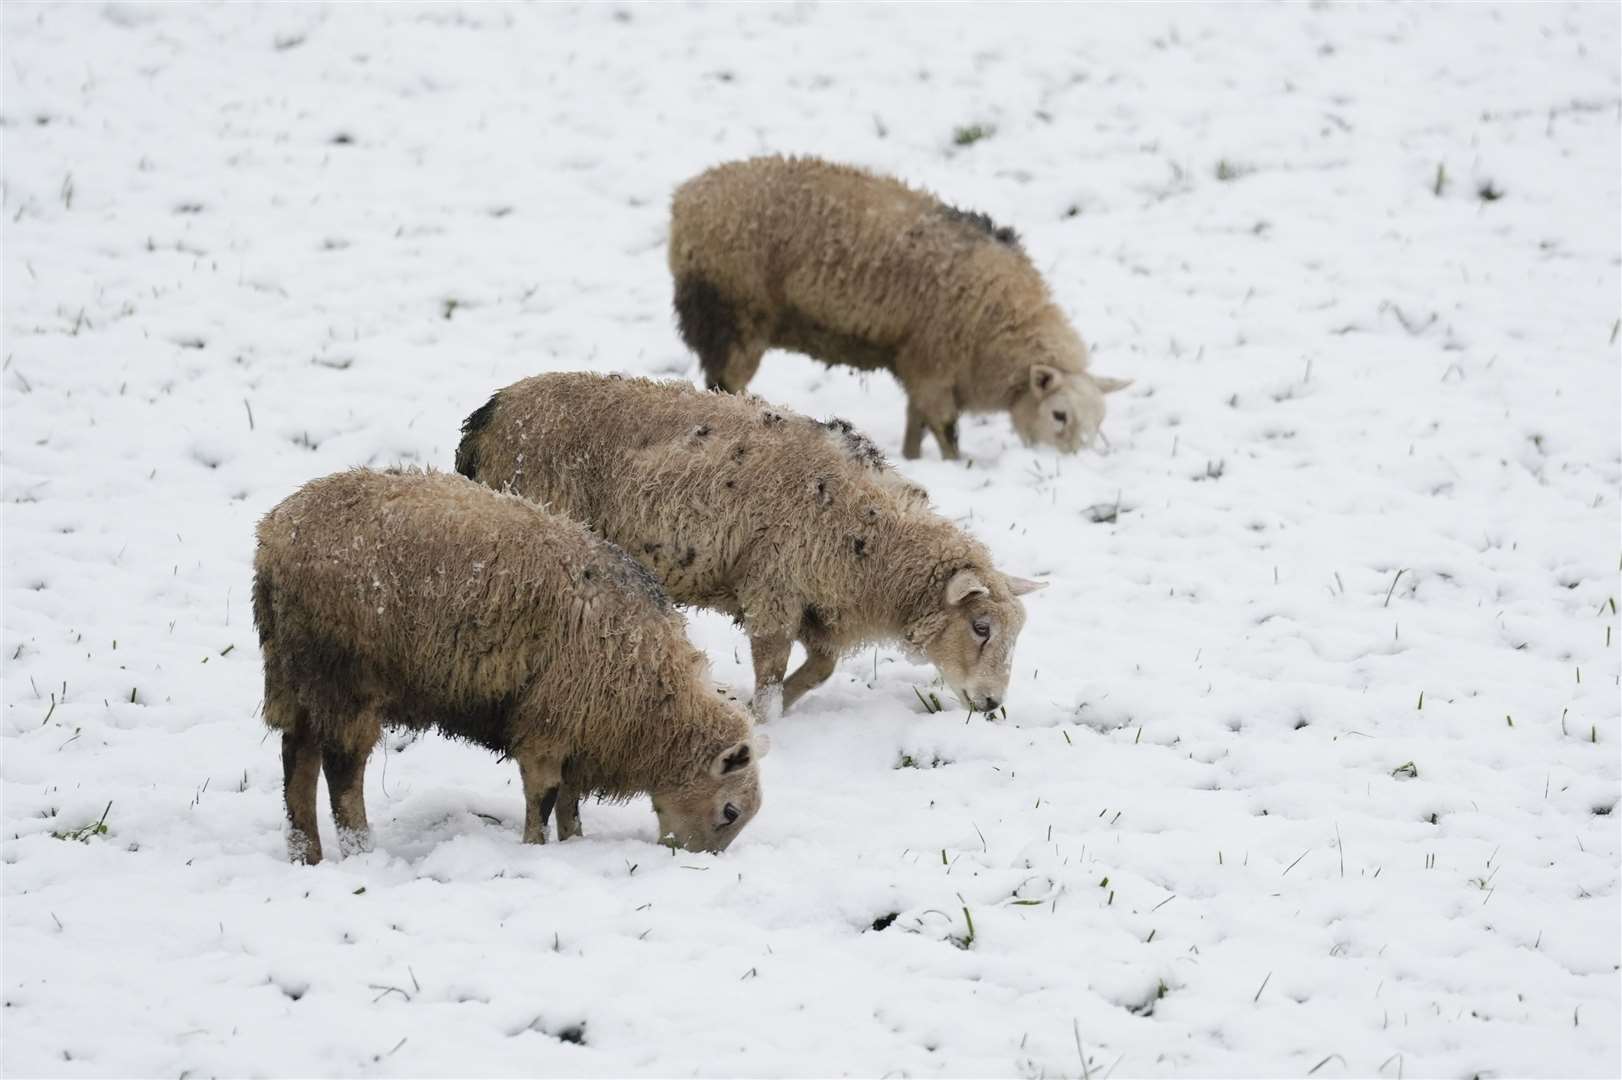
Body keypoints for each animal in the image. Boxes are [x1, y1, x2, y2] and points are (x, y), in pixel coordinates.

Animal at [251, 467, 765, 862]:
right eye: (730, 812)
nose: (696, 862)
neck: (654, 701)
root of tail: (274, 537)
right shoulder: (549, 721)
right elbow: (545, 796)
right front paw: (535, 849)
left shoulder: (579, 727)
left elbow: (569, 801)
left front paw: (575, 842)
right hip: (344, 676)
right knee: (341, 772)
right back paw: (360, 851)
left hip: (291, 673)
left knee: (296, 759)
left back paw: (306, 854)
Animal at [454, 374, 1051, 720]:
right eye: (981, 627)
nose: (992, 704)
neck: (872, 537)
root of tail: (488, 415)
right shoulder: (773, 590)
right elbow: (770, 672)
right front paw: (763, 718)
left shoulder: (818, 603)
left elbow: (820, 669)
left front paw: (778, 705)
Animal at [665, 153, 1135, 457]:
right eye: (1059, 415)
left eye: (1099, 422)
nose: (1072, 465)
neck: (999, 326)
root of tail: (685, 200)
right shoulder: (934, 366)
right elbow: (945, 431)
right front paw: (955, 465)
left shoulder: (919, 364)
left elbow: (916, 425)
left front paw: (910, 458)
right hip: (733, 313)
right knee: (726, 380)